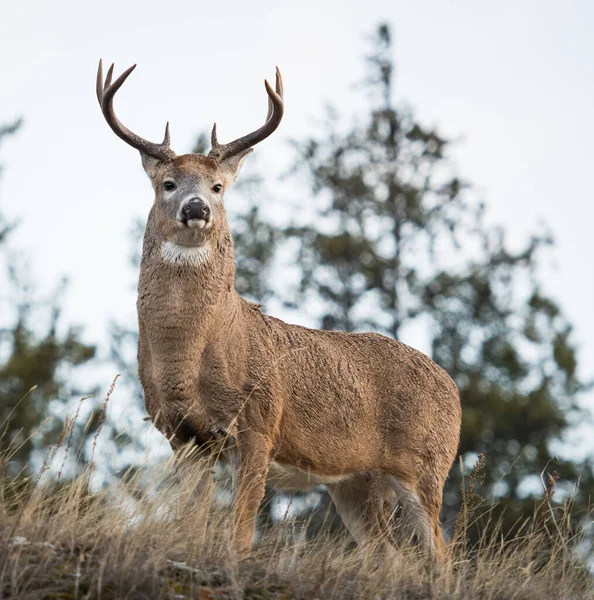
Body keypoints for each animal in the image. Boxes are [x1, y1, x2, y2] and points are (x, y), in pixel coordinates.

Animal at [95, 58, 460, 560]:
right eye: (167, 184)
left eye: (218, 186)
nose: (196, 208)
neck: (188, 358)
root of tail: (454, 389)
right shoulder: (182, 435)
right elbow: (192, 519)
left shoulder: (259, 423)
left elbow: (241, 528)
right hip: (356, 484)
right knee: (390, 556)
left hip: (426, 465)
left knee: (442, 555)